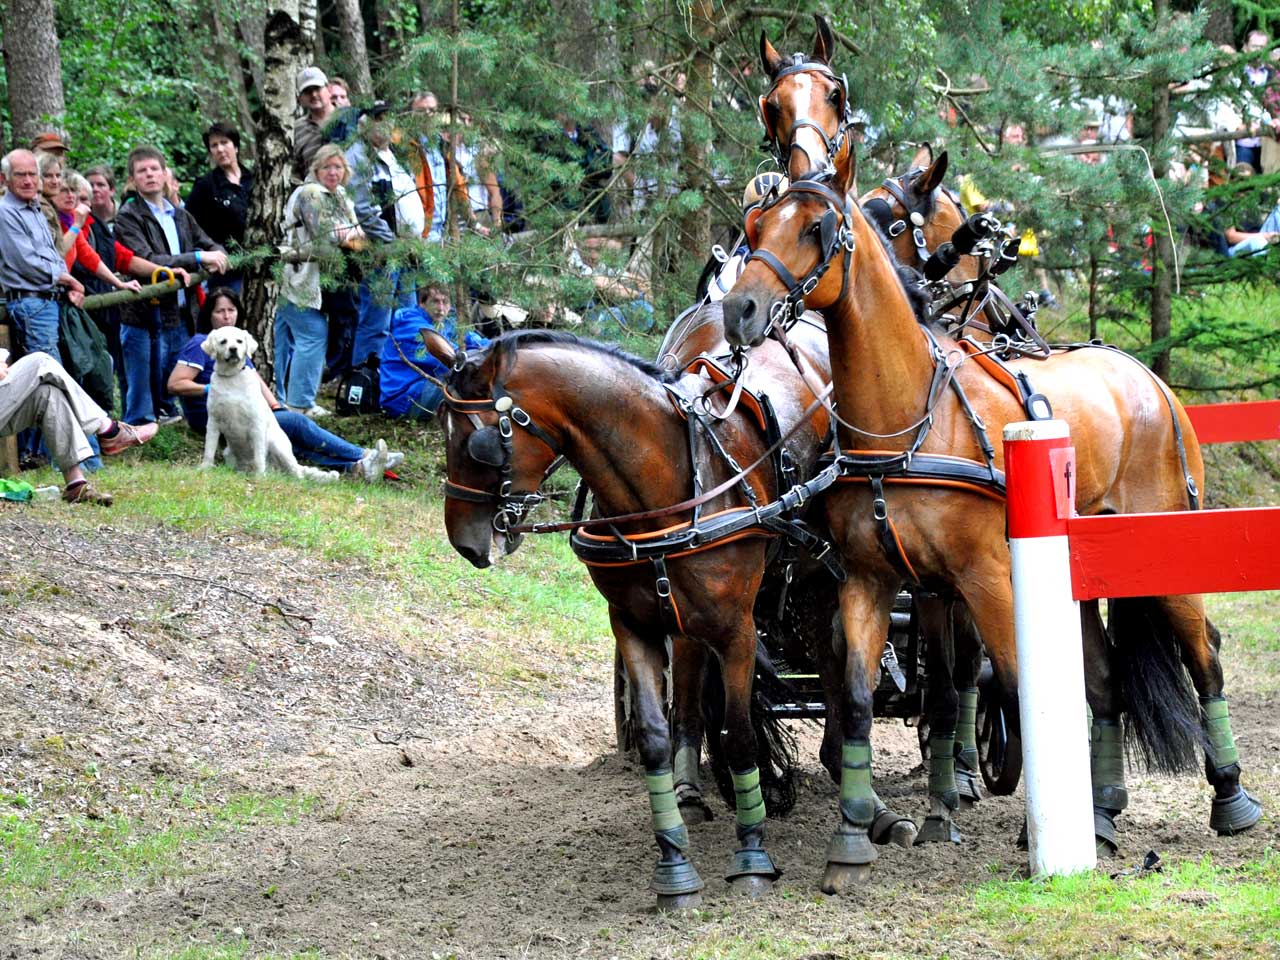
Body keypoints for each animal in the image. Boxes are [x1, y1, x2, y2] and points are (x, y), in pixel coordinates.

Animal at [200, 327, 338, 483]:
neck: (231, 377)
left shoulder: (256, 424)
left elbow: (259, 456)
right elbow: (209, 448)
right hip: (228, 452)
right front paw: (205, 468)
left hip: (276, 445)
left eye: (239, 341)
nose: (233, 349)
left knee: (297, 473)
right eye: (223, 341)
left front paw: (260, 476)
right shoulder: (213, 421)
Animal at [430, 323, 919, 907]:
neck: (662, 485)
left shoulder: (737, 631)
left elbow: (739, 736)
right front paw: (674, 863)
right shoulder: (634, 624)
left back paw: (876, 809)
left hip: (825, 580)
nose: (465, 542)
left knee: (839, 679)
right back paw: (690, 792)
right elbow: (655, 737)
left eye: (478, 441)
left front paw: (752, 857)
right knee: (691, 683)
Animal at [719, 148, 1262, 893]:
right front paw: (854, 837)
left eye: (815, 229)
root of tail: (1146, 377)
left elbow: (1012, 689)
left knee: (1204, 654)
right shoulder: (871, 581)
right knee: (1104, 679)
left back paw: (1231, 796)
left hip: (1162, 553)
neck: (909, 418)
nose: (738, 310)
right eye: (754, 226)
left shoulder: (988, 583)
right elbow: (856, 699)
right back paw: (1102, 812)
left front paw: (1026, 830)